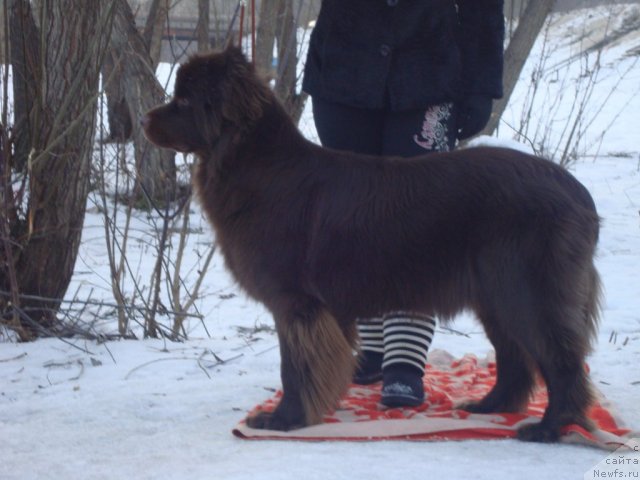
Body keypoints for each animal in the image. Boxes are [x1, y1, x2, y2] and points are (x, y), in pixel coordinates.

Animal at [142, 46, 604, 442]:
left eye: (184, 101)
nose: (144, 120)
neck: (256, 163)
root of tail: (579, 193)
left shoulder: (297, 303)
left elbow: (294, 368)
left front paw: (284, 420)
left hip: (527, 290)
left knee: (562, 361)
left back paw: (549, 428)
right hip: (495, 294)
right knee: (516, 359)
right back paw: (489, 406)